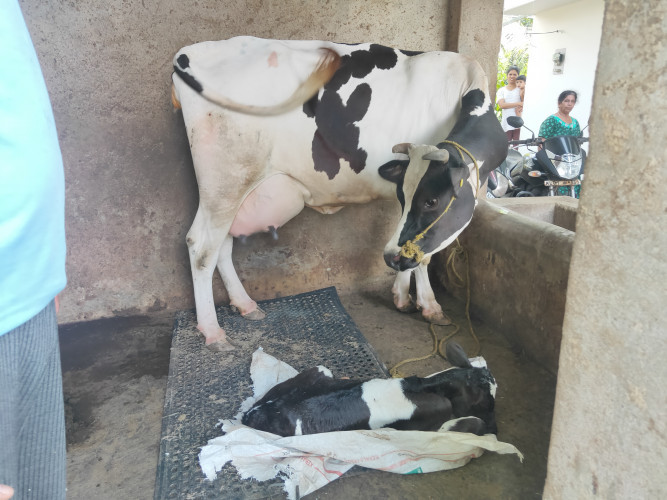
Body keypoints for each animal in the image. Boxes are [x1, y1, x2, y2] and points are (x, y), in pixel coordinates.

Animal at [171, 36, 507, 351]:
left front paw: (402, 296)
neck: (466, 88)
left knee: (222, 247)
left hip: (233, 192)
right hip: (226, 180)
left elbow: (406, 238)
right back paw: (213, 332)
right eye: (431, 201)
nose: (391, 260)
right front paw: (430, 305)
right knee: (201, 247)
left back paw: (245, 305)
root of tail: (188, 52)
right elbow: (423, 254)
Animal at [242, 341, 497, 436]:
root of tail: (250, 414)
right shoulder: (430, 428)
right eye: (488, 401)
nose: (496, 427)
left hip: (319, 370)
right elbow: (472, 423)